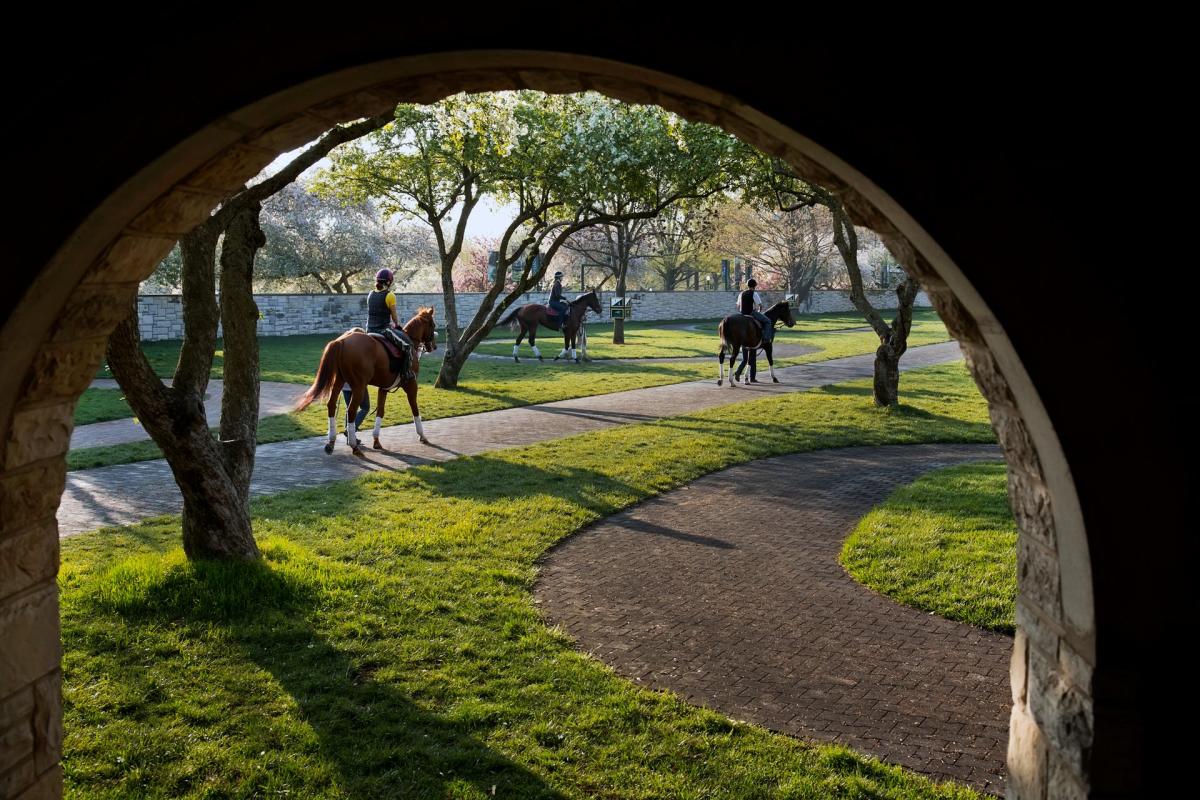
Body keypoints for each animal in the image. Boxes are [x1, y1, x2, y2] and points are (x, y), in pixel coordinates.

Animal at [294, 309, 436, 453]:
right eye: (433, 325)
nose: (433, 346)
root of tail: (342, 341)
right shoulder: (411, 385)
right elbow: (415, 409)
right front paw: (422, 436)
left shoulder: (383, 388)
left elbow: (380, 412)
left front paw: (376, 440)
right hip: (358, 387)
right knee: (351, 410)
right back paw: (353, 445)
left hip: (339, 382)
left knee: (332, 405)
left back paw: (331, 442)